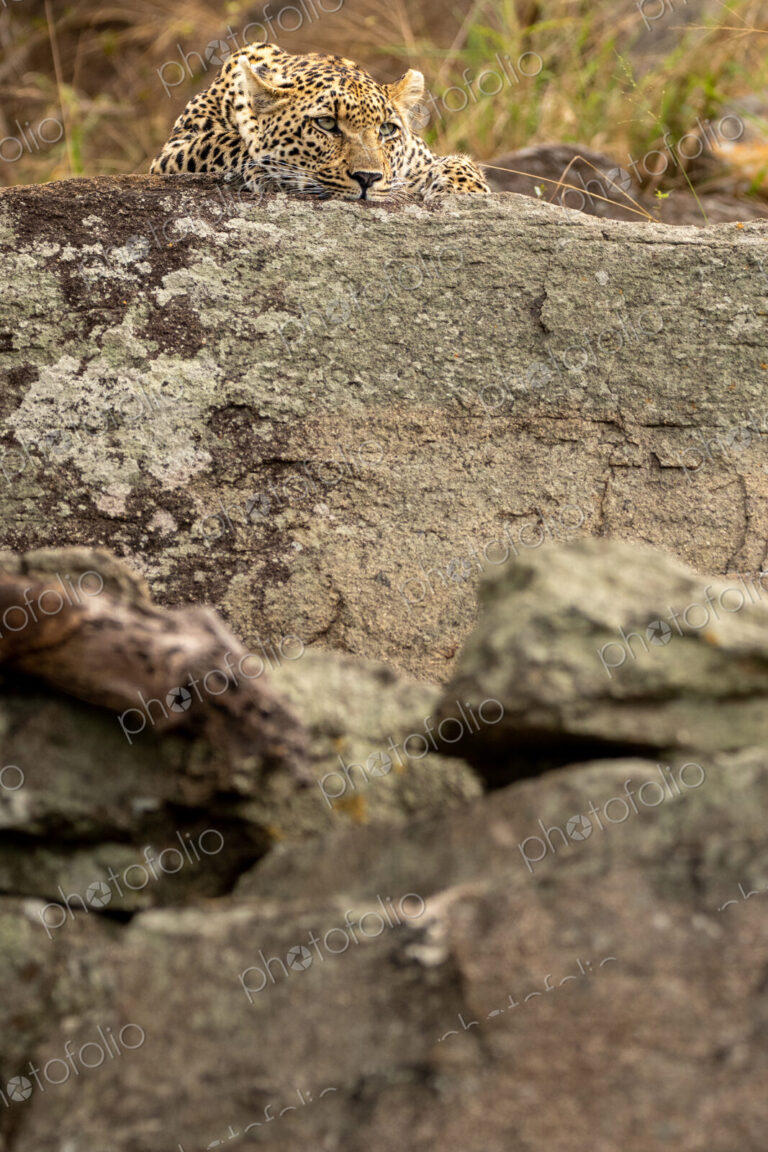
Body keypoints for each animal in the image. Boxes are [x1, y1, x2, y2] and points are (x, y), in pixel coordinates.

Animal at [149, 42, 490, 204]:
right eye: (326, 124)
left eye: (386, 130)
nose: (368, 178)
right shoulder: (172, 152)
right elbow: (222, 142)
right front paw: (266, 169)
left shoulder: (418, 157)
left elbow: (458, 163)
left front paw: (463, 189)